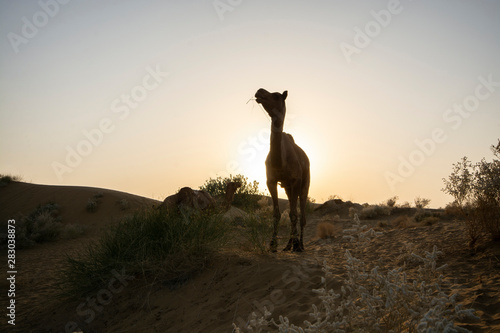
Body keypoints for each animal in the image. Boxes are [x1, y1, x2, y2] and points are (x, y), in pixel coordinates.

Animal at [256, 87, 310, 250]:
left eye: (276, 96)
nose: (259, 91)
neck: (280, 162)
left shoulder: (296, 180)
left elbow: (293, 214)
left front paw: (297, 246)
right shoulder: (271, 181)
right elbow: (277, 213)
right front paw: (273, 245)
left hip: (305, 183)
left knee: (302, 214)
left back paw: (300, 244)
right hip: (287, 187)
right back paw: (288, 245)